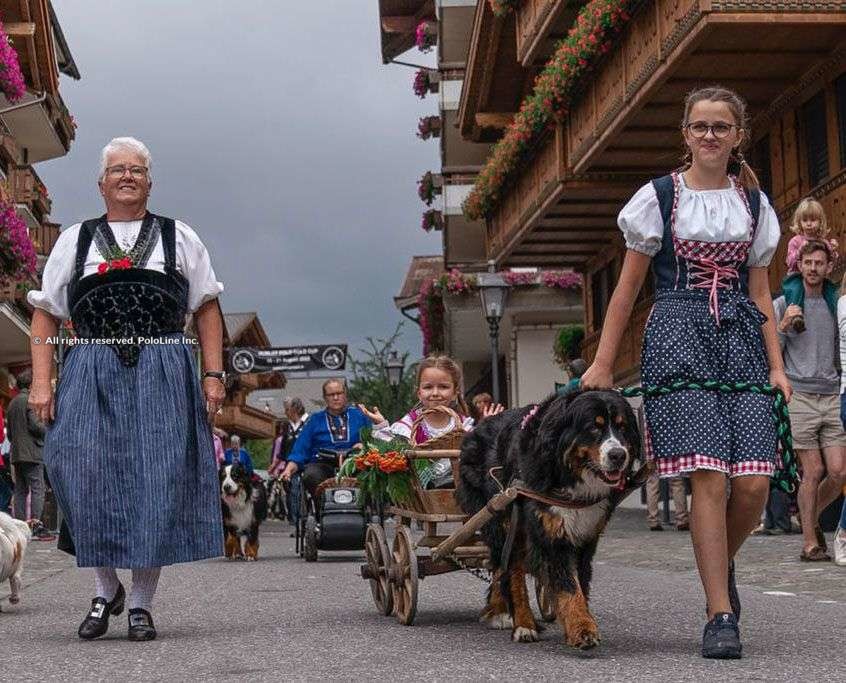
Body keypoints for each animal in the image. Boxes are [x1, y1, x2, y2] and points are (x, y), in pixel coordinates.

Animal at [460, 390, 644, 652]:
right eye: (593, 427)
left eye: (622, 427)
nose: (618, 455)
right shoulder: (553, 534)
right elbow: (567, 585)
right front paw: (582, 630)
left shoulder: (585, 537)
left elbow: (579, 584)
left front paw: (575, 622)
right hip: (501, 521)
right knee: (509, 571)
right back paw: (520, 623)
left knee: (501, 568)